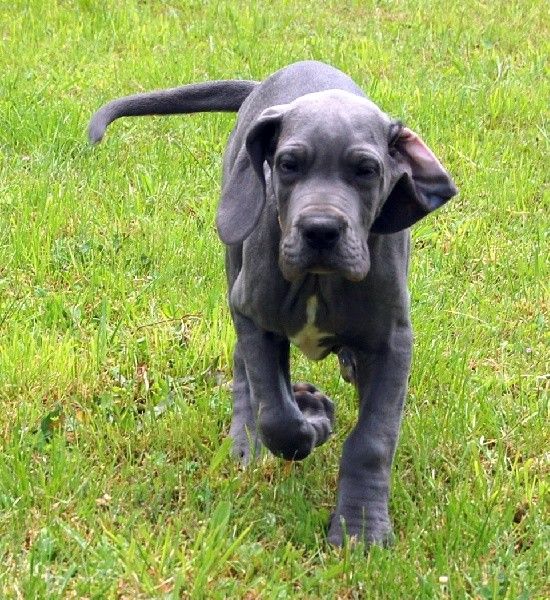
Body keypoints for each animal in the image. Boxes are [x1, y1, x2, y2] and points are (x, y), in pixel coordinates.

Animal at [89, 61, 457, 547]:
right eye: (288, 165)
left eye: (366, 170)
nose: (320, 230)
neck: (319, 279)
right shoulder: (252, 314)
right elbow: (277, 413)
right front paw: (314, 416)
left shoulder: (393, 342)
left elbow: (373, 439)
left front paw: (361, 530)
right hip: (235, 259)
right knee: (245, 373)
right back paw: (247, 443)